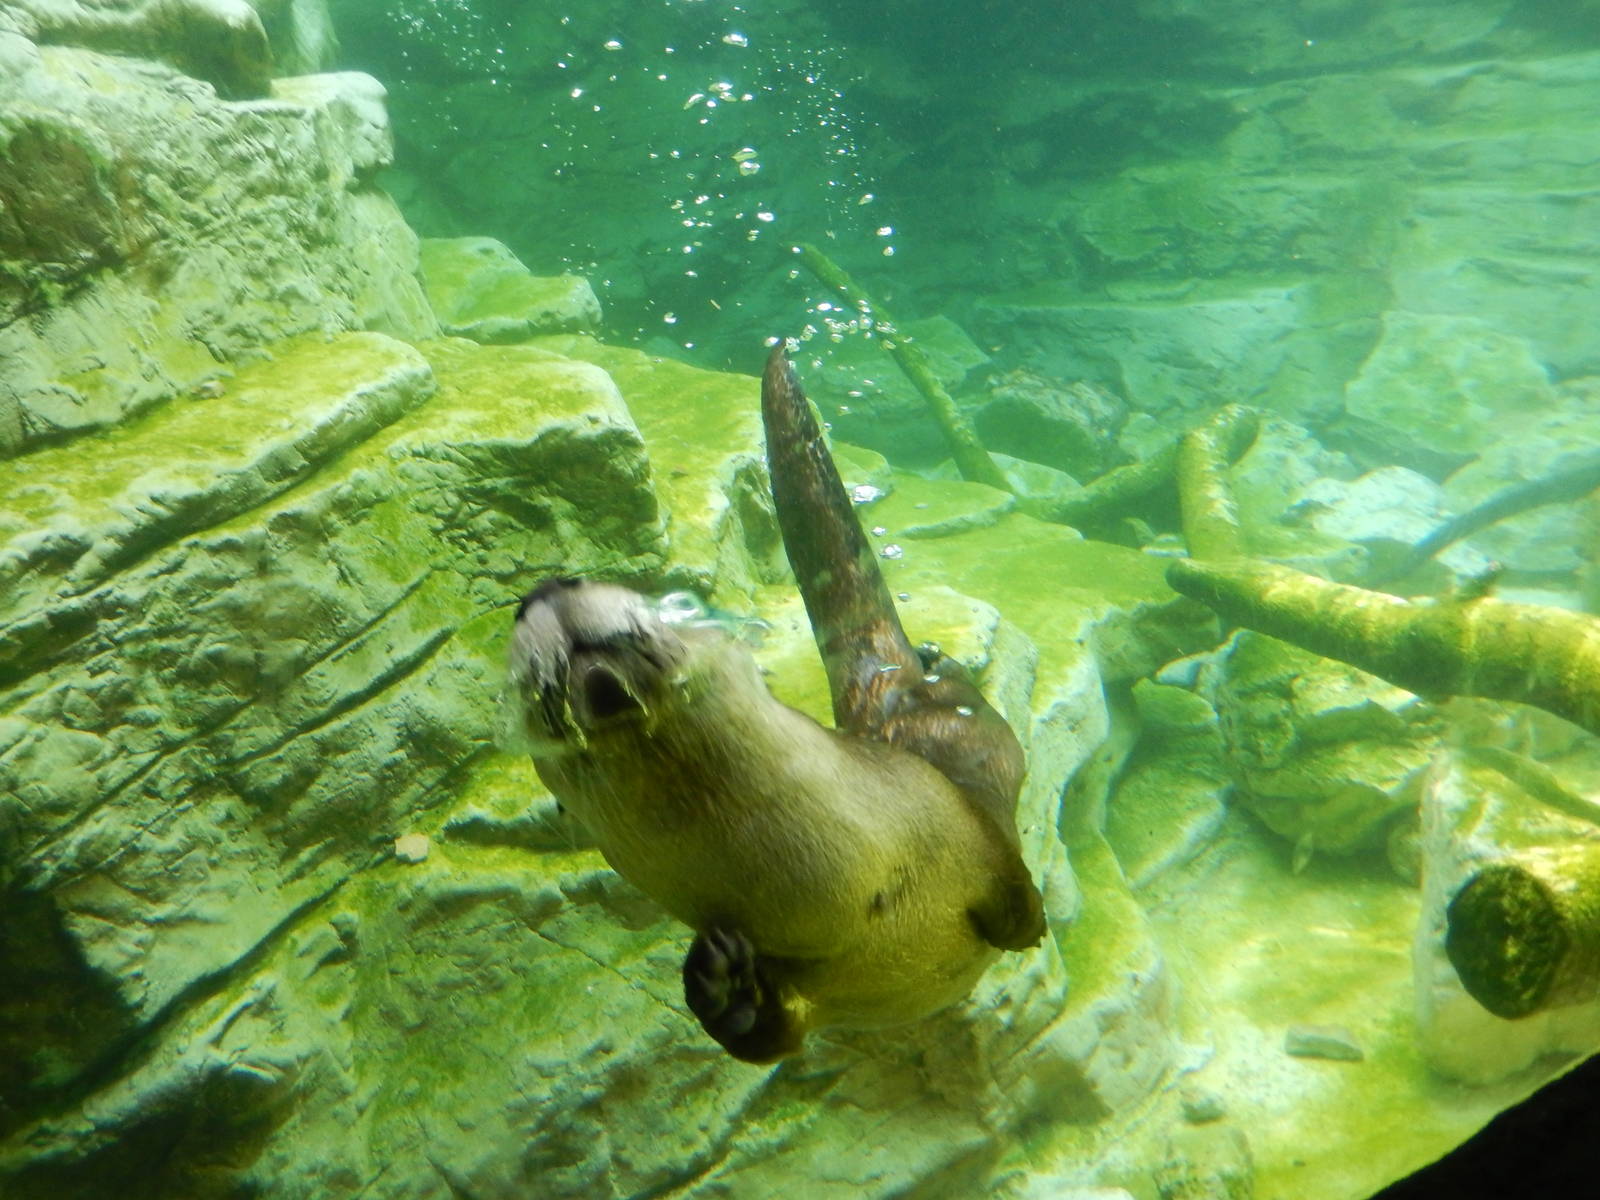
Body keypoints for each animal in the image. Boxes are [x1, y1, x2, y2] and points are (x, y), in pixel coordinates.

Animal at [504, 346, 1044, 1062]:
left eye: (656, 602)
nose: (543, 590)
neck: (858, 899)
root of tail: (878, 691)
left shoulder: (960, 821)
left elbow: (1006, 872)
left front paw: (1027, 923)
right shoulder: (809, 983)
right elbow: (764, 1040)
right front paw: (718, 980)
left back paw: (938, 659)